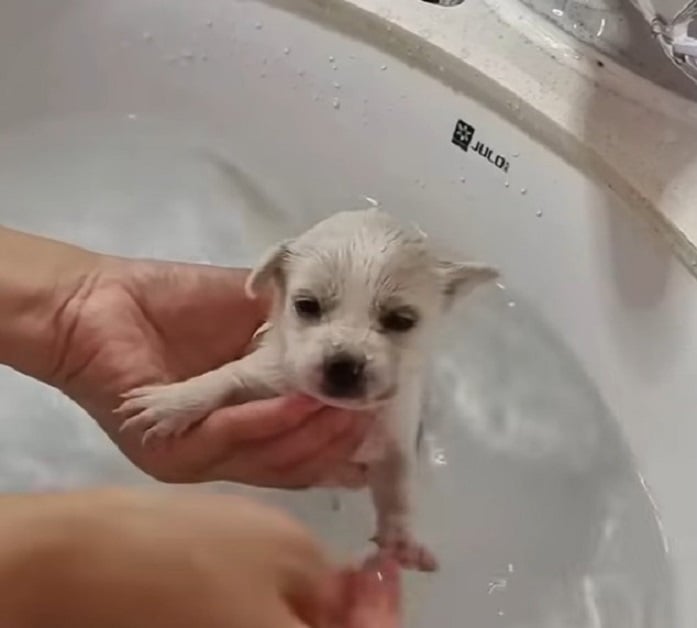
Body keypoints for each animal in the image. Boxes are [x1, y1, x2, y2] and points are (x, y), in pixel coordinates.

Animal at [115, 209, 494, 572]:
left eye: (401, 320)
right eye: (307, 305)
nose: (343, 364)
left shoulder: (395, 438)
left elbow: (397, 492)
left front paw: (401, 539)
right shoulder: (263, 371)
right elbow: (224, 378)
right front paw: (172, 402)